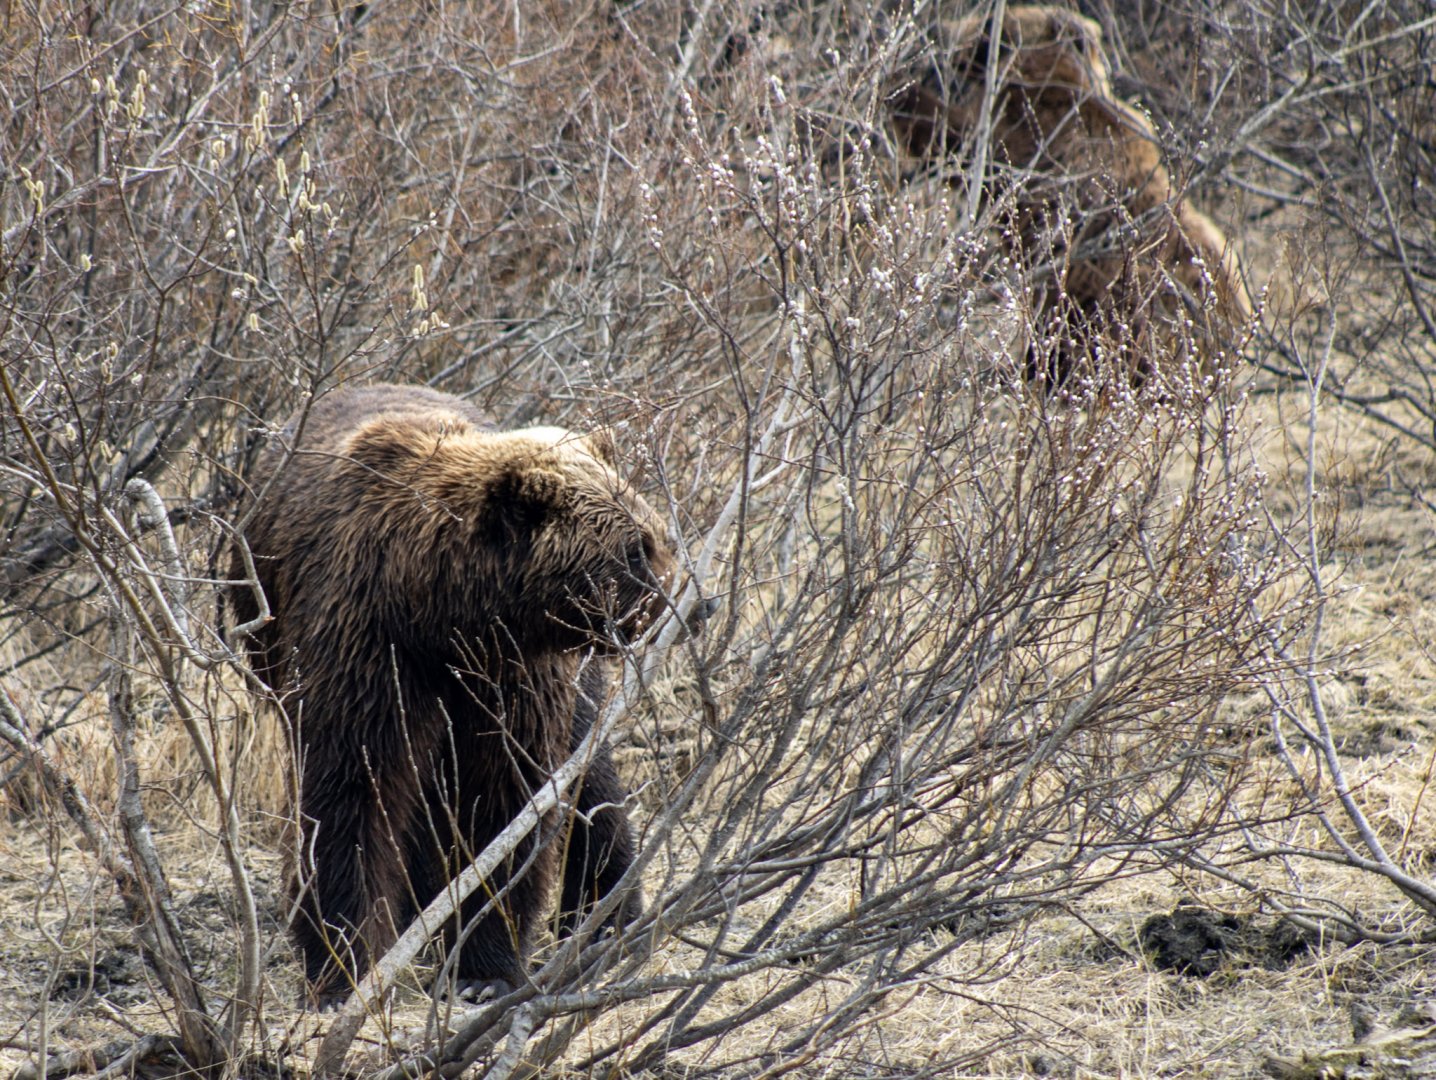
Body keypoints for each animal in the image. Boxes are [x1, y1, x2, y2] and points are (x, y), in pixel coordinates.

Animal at [228, 383, 672, 1007]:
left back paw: (607, 920)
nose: (683, 600)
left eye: (652, 534)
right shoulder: (365, 648)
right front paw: (347, 972)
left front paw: (481, 969)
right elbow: (350, 793)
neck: (439, 610)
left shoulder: (512, 674)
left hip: (576, 682)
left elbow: (505, 798)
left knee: (593, 783)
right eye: (637, 547)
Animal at [889, 6, 1250, 385]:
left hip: (1119, 307)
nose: (942, 29)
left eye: (993, 27)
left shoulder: (1030, 134)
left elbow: (959, 142)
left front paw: (899, 90)